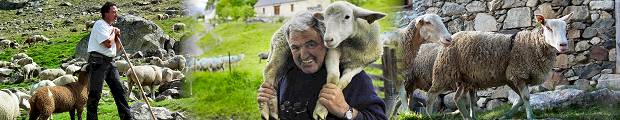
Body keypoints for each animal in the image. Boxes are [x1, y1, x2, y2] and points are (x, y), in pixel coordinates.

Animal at [428, 12, 572, 119]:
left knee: (458, 98)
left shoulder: (512, 78)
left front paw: (505, 116)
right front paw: (531, 117)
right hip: (444, 72)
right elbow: (525, 97)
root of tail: (453, 36)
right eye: (548, 28)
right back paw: (430, 115)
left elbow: (520, 99)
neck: (531, 44)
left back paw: (469, 117)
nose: (563, 45)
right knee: (431, 94)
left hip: (465, 79)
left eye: (566, 28)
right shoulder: (518, 74)